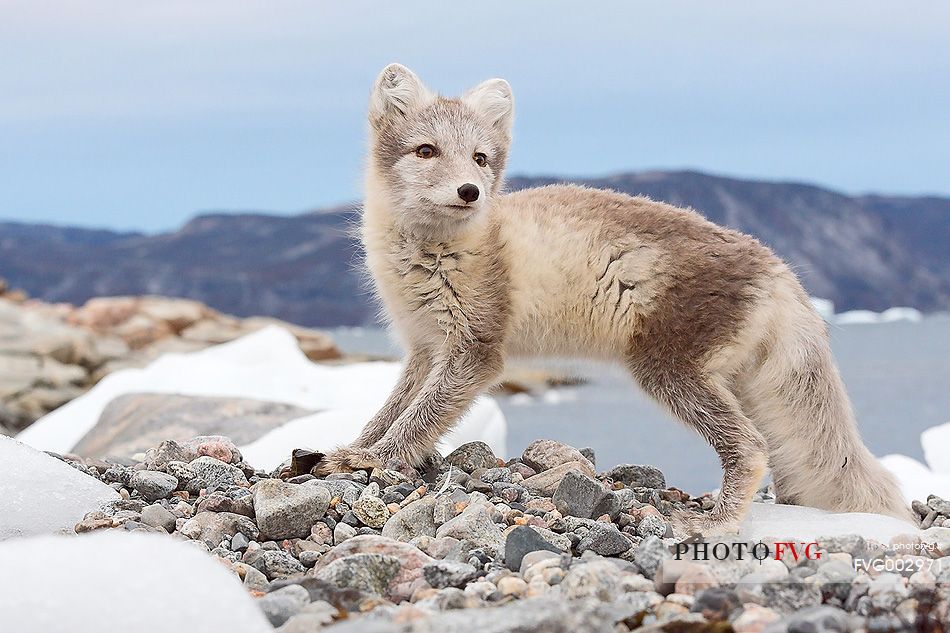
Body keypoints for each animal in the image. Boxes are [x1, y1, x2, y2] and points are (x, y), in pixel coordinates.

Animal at [322, 61, 916, 532]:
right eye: (426, 151)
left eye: (481, 158)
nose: (470, 191)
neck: (430, 255)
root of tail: (780, 269)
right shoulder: (424, 345)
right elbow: (392, 409)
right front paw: (353, 449)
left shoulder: (477, 350)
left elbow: (417, 419)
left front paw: (374, 461)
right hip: (736, 384)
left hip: (667, 369)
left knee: (750, 449)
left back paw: (715, 523)